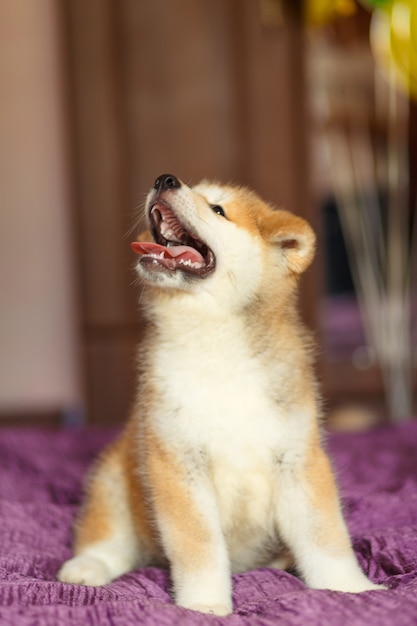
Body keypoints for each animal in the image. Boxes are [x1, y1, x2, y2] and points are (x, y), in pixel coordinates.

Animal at [57, 173, 382, 612]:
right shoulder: (177, 463)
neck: (215, 343)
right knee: (109, 542)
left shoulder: (298, 459)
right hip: (113, 483)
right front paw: (204, 605)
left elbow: (325, 537)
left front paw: (350, 588)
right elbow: (199, 546)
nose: (165, 178)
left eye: (217, 209)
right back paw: (86, 568)